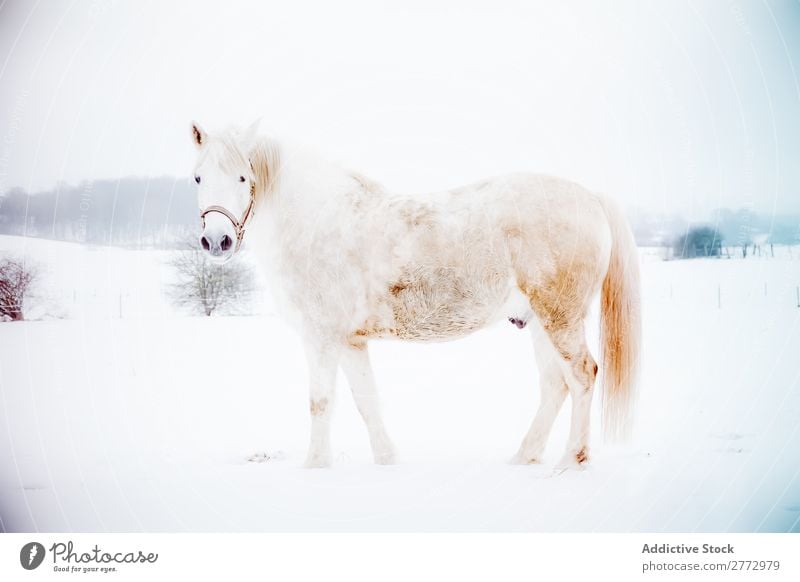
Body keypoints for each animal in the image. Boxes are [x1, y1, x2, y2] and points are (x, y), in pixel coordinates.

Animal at [191, 121, 640, 472]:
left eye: (243, 178)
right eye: (197, 177)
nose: (217, 240)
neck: (316, 221)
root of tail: (590, 197)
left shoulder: (320, 338)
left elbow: (320, 402)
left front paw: (315, 466)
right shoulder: (350, 341)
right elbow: (366, 401)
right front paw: (386, 460)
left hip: (560, 318)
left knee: (582, 375)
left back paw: (571, 460)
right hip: (540, 322)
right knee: (554, 386)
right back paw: (524, 457)